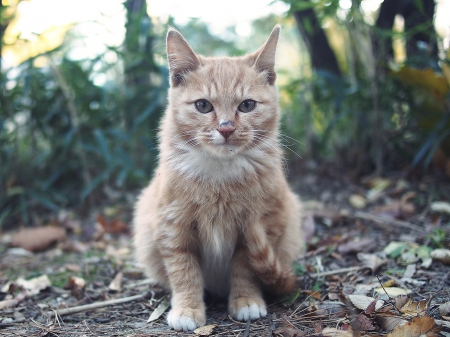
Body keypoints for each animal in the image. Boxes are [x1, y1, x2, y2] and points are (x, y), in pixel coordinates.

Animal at [132, 24, 304, 330]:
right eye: (203, 106)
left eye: (247, 105)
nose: (226, 128)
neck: (220, 179)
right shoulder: (172, 226)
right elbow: (184, 271)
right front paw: (187, 309)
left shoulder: (264, 222)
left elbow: (246, 268)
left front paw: (246, 300)